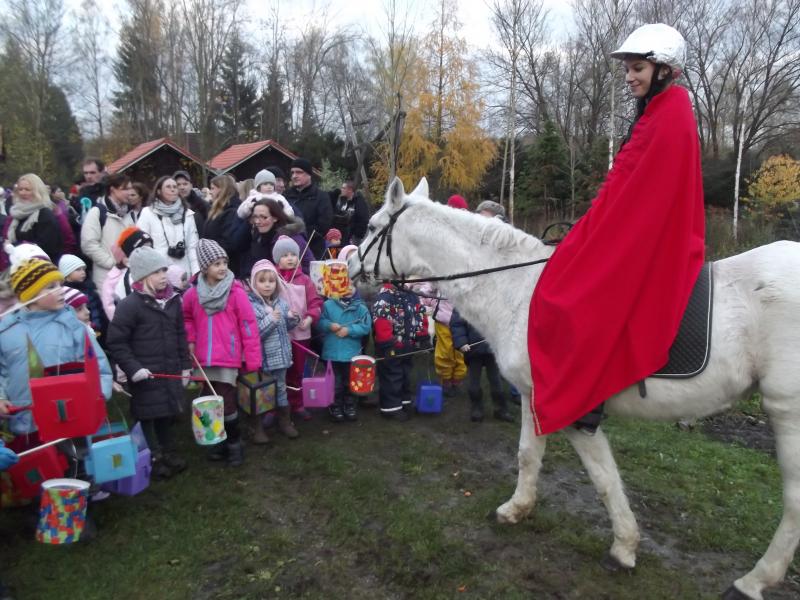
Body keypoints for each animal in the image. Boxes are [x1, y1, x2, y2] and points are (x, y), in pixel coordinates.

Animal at [348, 178, 800, 600]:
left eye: (371, 227)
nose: (350, 265)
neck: (520, 290)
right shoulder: (538, 399)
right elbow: (543, 459)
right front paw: (524, 511)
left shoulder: (565, 408)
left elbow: (594, 476)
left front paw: (619, 546)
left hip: (788, 415)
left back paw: (753, 580)